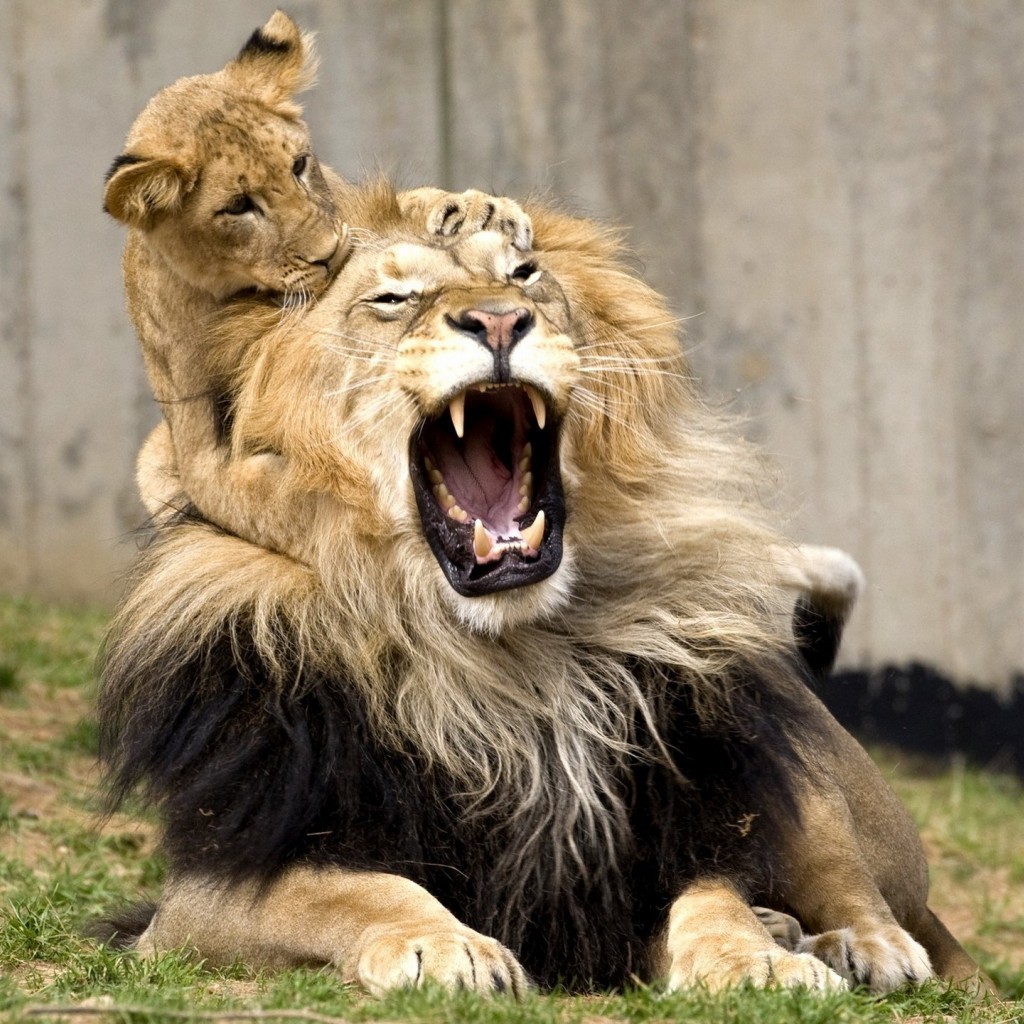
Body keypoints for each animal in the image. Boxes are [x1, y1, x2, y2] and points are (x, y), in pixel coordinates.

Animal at [96, 184, 985, 996]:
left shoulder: (653, 851)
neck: (508, 663)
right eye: (391, 299)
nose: (498, 322)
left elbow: (714, 898)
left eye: (524, 277)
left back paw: (858, 944)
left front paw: (758, 957)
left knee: (869, 892)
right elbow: (357, 891)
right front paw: (444, 947)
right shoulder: (201, 898)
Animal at [104, 10, 532, 549]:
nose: (331, 253)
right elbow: (258, 498)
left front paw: (478, 209)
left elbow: (397, 206)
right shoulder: (196, 442)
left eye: (299, 165)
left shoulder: (350, 207)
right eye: (238, 206)